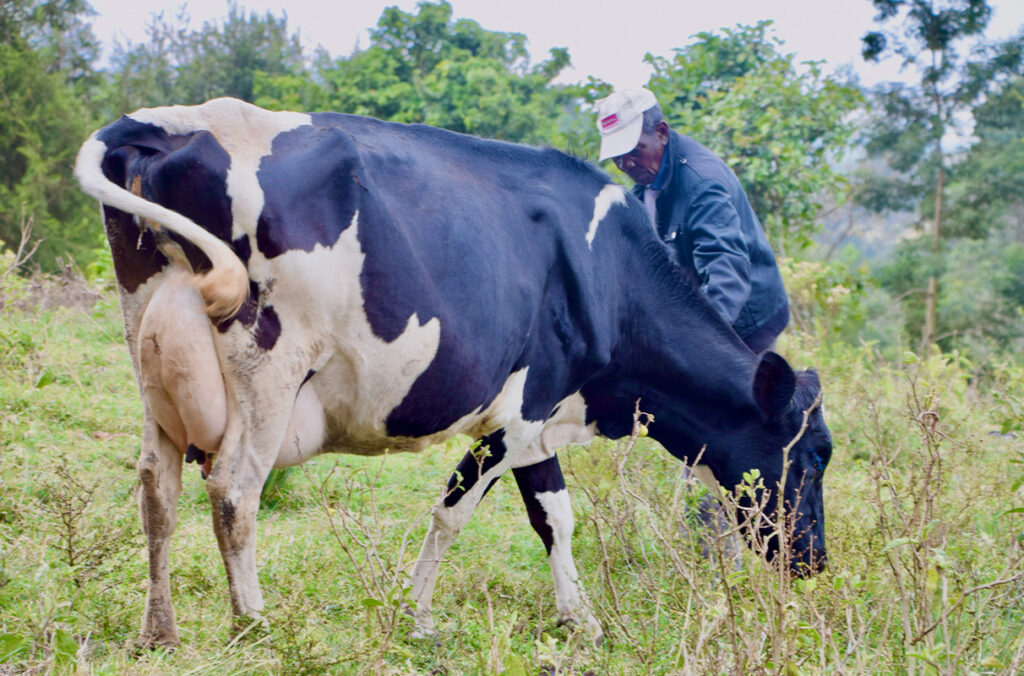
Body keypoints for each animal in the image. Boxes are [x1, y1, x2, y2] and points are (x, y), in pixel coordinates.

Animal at [74, 97, 832, 648]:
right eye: (815, 454)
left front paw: (579, 619)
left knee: (157, 486)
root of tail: (176, 122)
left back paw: (159, 632)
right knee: (234, 488)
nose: (815, 563)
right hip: (268, 363)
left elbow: (553, 515)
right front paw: (419, 619)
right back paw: (254, 625)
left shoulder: (538, 418)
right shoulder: (526, 407)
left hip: (151, 355)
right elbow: (457, 511)